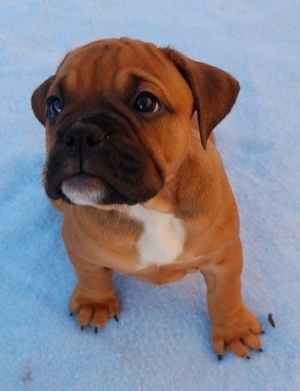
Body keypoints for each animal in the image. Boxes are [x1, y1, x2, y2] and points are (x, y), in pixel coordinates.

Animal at [31, 38, 262, 360]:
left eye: (145, 103)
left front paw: (233, 330)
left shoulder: (224, 257)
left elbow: (225, 294)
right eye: (55, 105)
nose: (79, 133)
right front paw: (95, 302)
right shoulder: (80, 249)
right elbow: (91, 276)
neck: (150, 208)